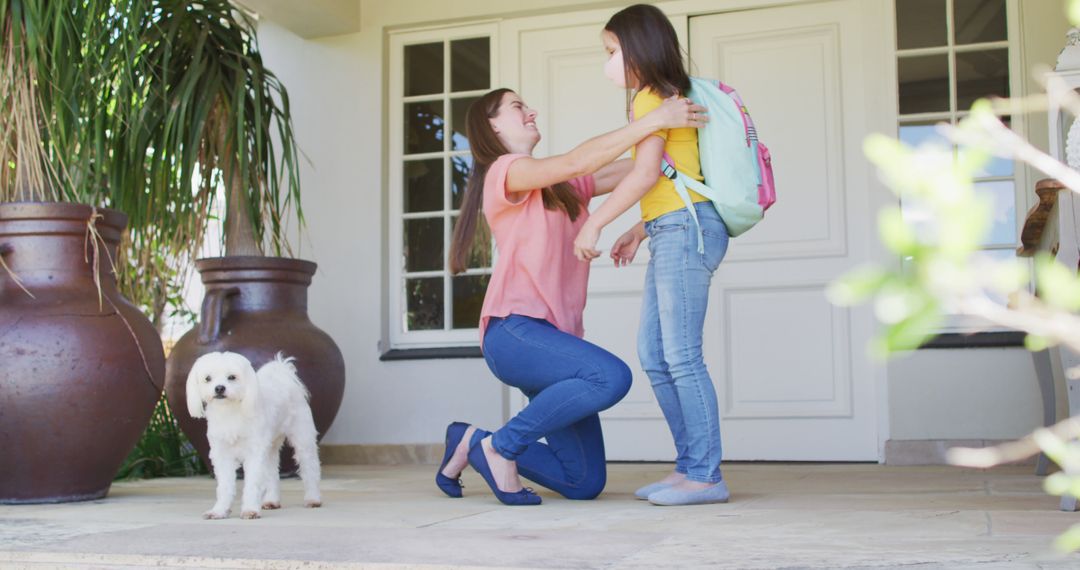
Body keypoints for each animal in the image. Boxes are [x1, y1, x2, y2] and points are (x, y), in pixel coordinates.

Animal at [187, 349, 321, 518]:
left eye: (232, 377)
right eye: (208, 378)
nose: (219, 388)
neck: (230, 411)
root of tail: (284, 376)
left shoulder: (254, 452)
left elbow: (253, 483)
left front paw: (250, 509)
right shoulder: (222, 454)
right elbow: (224, 486)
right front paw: (219, 510)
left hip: (302, 438)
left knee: (310, 468)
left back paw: (313, 498)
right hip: (270, 447)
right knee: (272, 472)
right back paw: (271, 500)